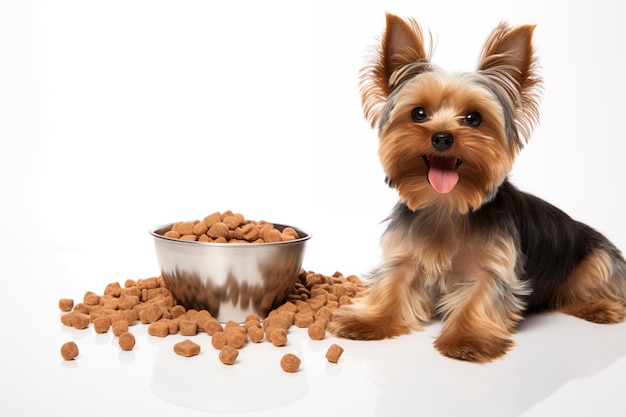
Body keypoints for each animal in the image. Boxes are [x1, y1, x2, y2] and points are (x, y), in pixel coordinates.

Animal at [326, 13, 624, 360]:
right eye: (418, 113)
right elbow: (391, 286)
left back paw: (600, 307)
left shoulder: (496, 266)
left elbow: (482, 298)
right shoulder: (404, 256)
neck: (446, 205)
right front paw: (369, 320)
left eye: (473, 118)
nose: (442, 137)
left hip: (598, 256)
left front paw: (468, 339)